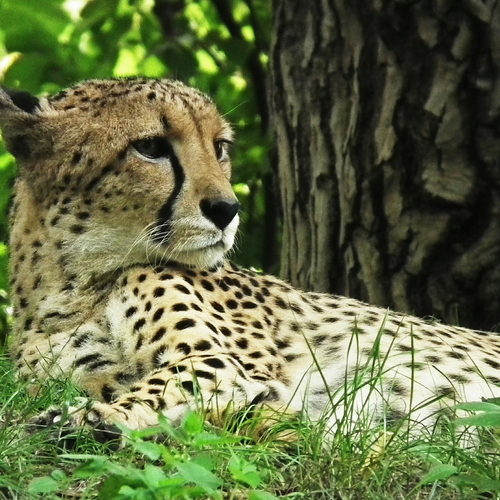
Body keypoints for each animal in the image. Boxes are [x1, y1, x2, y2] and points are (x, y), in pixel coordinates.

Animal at [0, 78, 500, 442]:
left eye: (219, 147)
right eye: (152, 148)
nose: (227, 209)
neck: (72, 284)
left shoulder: (223, 364)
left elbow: (161, 387)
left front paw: (88, 419)